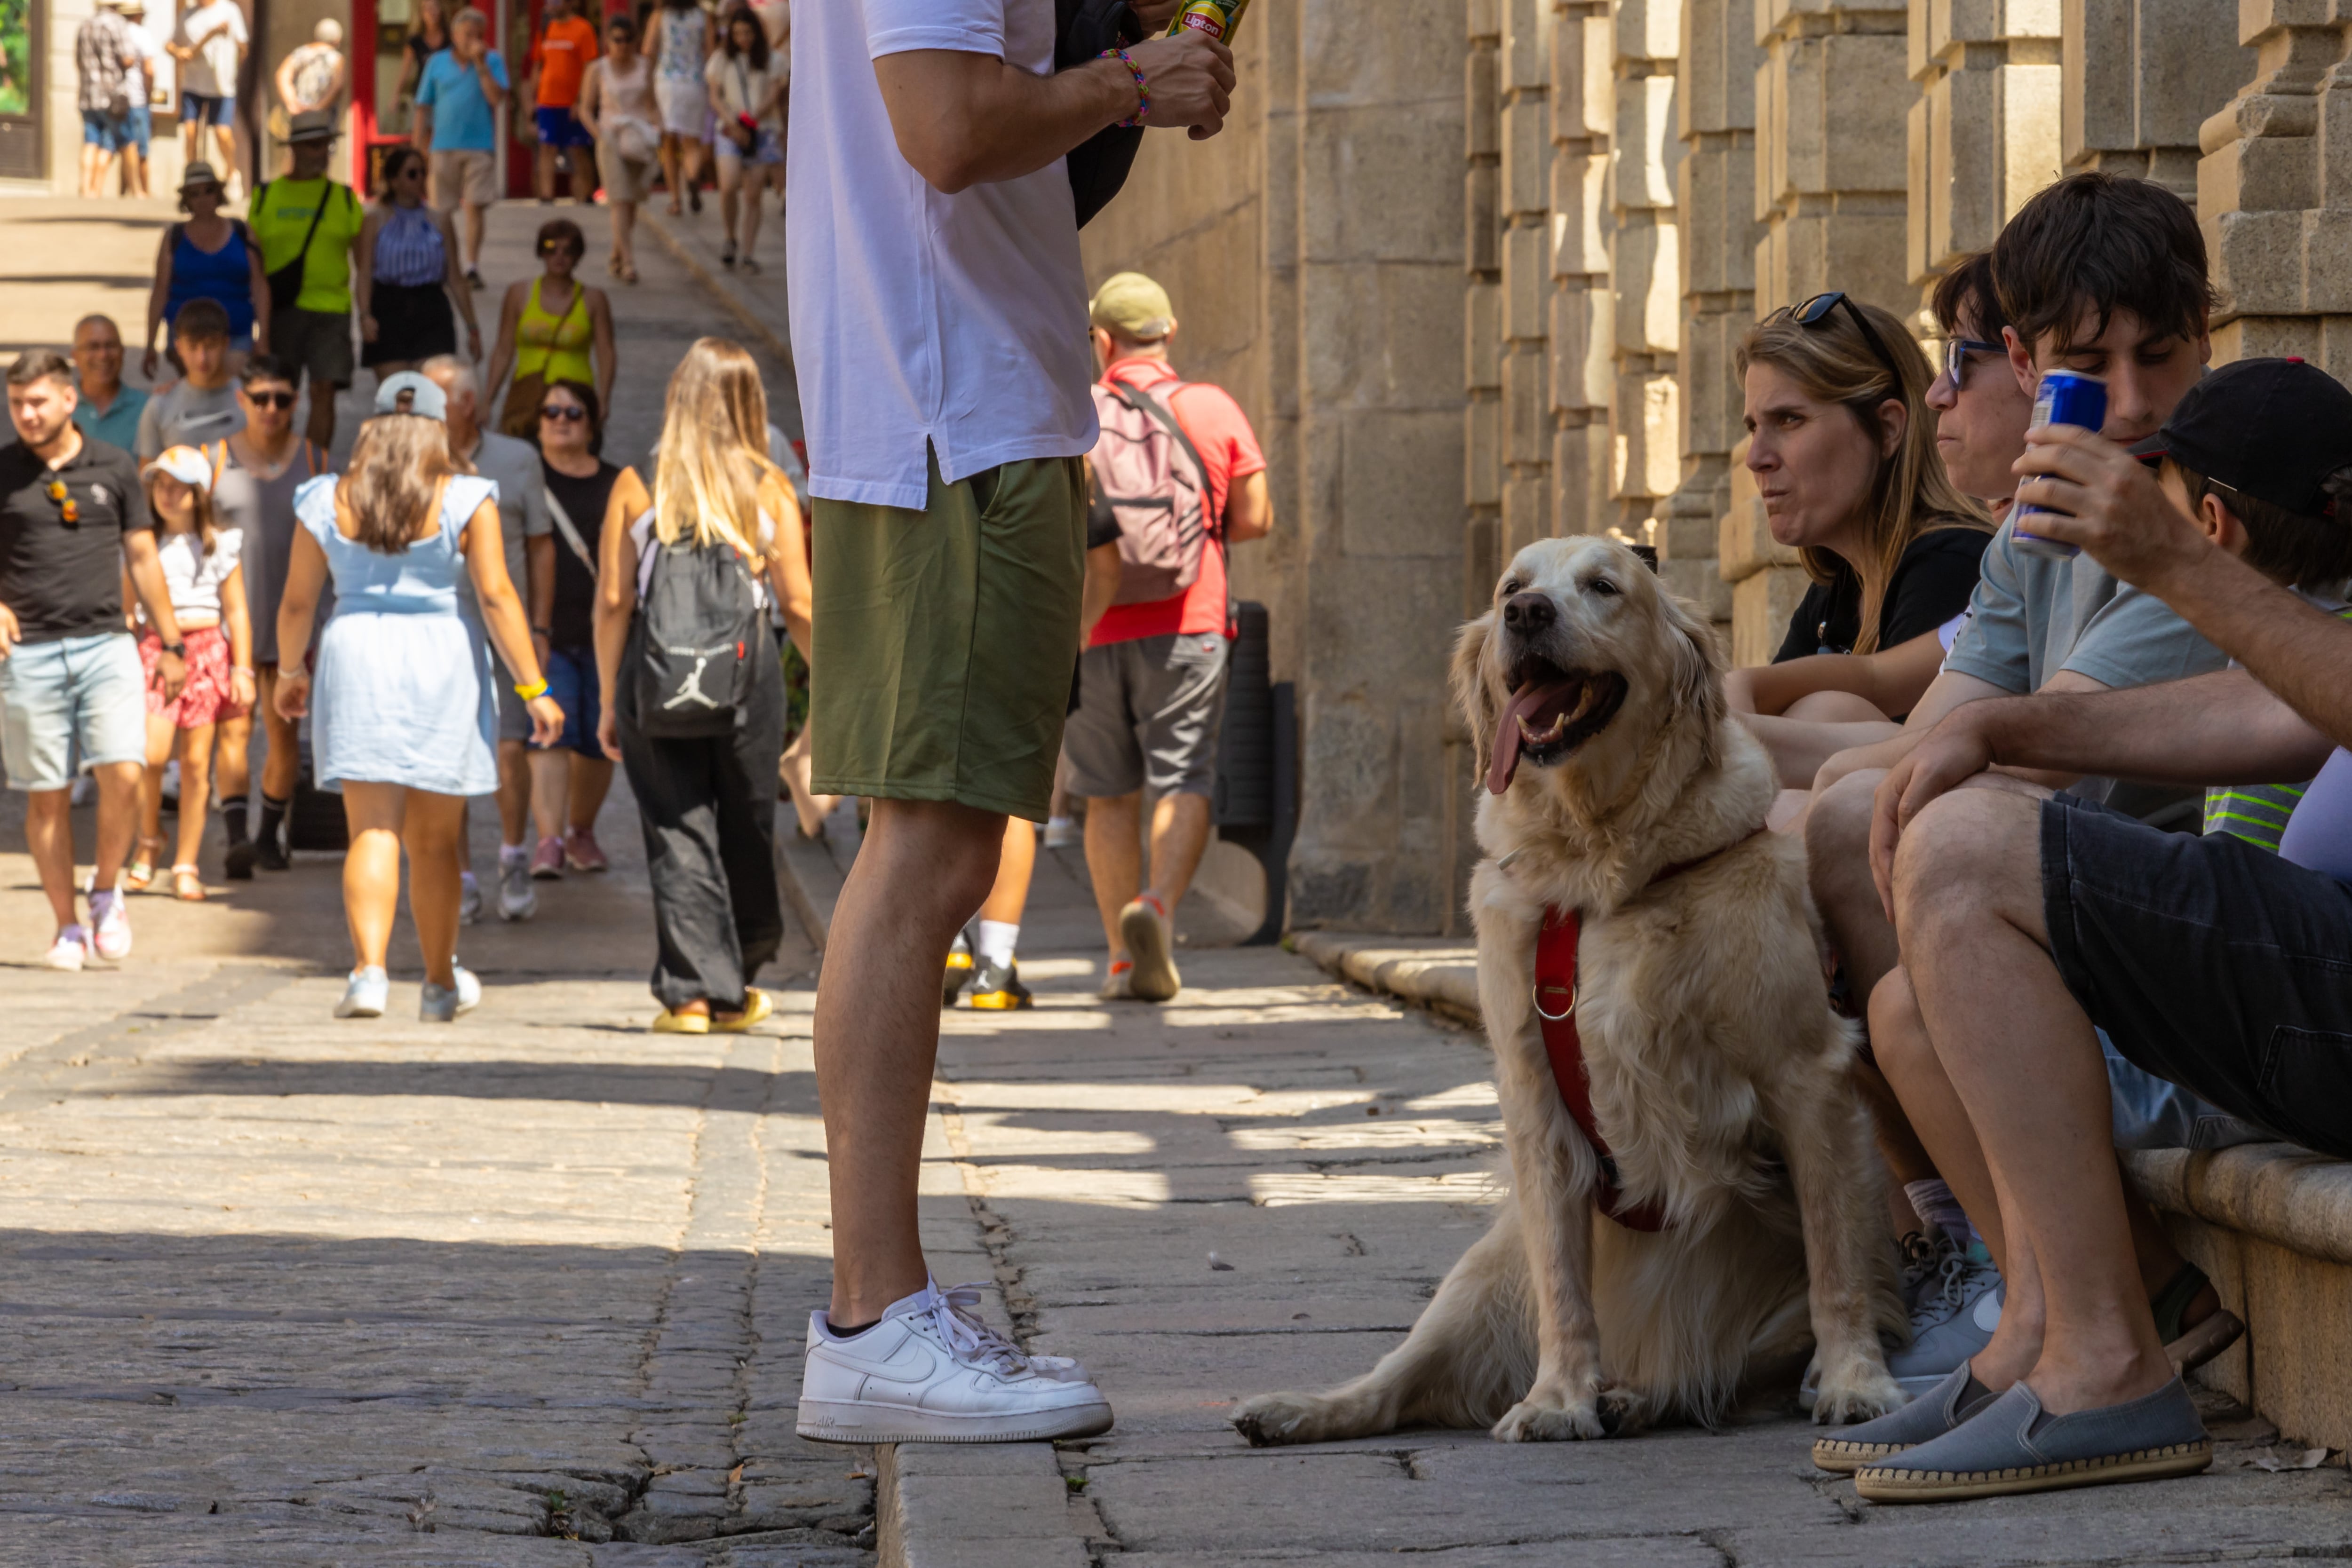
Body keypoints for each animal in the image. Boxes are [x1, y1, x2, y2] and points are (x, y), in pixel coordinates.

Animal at [1232, 540, 1910, 1448]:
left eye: (1604, 586)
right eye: (1509, 589)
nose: (1527, 615)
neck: (1599, 864)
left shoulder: (1806, 1070)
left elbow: (1836, 1258)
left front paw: (1857, 1382)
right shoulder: (1535, 1095)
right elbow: (1563, 1281)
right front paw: (1557, 1397)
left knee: (1712, 1375)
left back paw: (1643, 1394)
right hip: (1478, 1276)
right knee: (1400, 1380)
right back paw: (1301, 1407)